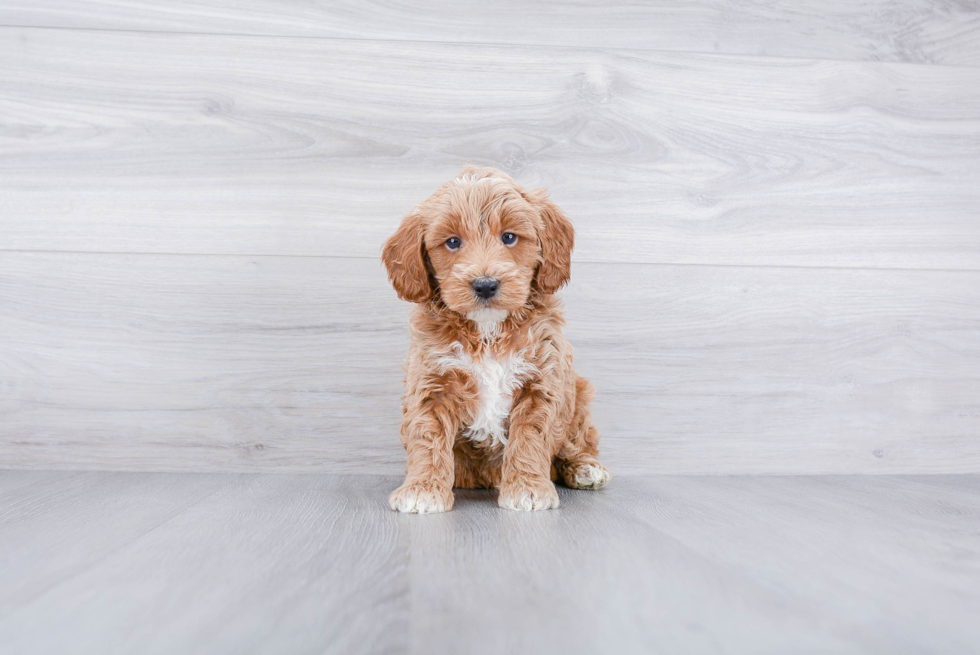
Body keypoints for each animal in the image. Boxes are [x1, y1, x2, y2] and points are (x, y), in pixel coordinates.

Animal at [380, 164, 604, 512]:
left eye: (509, 237)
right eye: (453, 242)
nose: (485, 284)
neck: (488, 332)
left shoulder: (542, 381)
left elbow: (530, 438)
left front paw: (527, 489)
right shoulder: (431, 382)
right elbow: (427, 438)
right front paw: (423, 489)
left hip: (577, 395)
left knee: (577, 441)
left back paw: (585, 468)